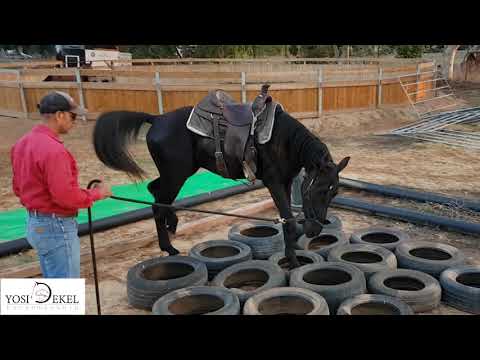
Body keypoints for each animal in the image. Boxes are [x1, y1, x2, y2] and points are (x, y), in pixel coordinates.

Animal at [93, 88, 348, 268]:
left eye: (334, 191)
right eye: (318, 190)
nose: (315, 231)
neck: (283, 140)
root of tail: (156, 119)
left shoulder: (285, 183)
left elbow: (288, 220)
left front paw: (293, 254)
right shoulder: (274, 183)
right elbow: (290, 221)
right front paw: (293, 260)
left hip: (176, 173)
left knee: (155, 192)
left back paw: (171, 225)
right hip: (176, 175)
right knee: (158, 202)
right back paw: (169, 245)